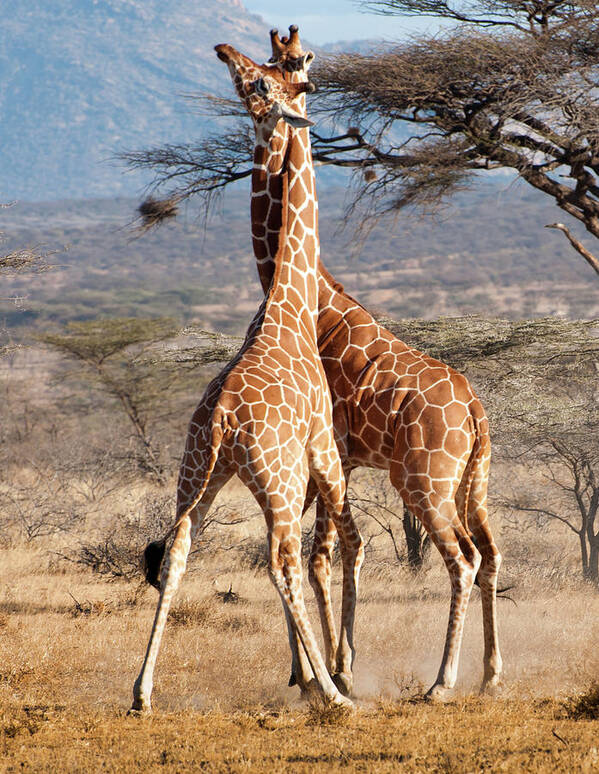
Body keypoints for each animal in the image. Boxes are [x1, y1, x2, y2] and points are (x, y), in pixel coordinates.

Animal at [127, 47, 360, 716]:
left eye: (264, 79)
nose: (225, 53)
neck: (289, 304)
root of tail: (226, 422)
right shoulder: (324, 450)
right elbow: (340, 544)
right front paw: (331, 672)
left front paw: (310, 671)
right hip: (276, 481)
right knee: (282, 563)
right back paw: (333, 694)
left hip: (197, 473)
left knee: (178, 551)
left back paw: (142, 691)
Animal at [244, 25, 502, 704]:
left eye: (277, 70)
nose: (256, 76)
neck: (314, 294)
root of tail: (474, 410)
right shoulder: (343, 460)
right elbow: (335, 553)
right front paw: (322, 668)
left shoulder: (327, 453)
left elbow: (321, 556)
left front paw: (331, 672)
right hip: (474, 483)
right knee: (492, 553)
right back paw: (491, 675)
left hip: (424, 482)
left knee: (462, 560)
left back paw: (441, 682)